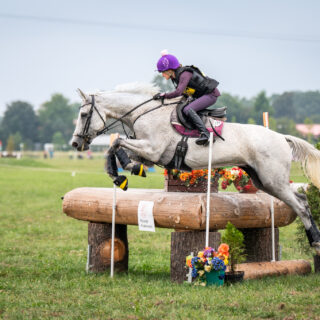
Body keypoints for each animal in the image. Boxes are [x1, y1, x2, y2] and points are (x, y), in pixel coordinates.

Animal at [71, 83, 320, 255]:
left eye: (83, 115)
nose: (75, 144)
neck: (146, 114)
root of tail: (282, 137)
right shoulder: (147, 153)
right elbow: (117, 149)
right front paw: (124, 174)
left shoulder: (152, 149)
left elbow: (116, 144)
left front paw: (121, 174)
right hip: (263, 180)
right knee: (301, 199)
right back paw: (315, 239)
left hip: (272, 180)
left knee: (300, 204)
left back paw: (315, 242)